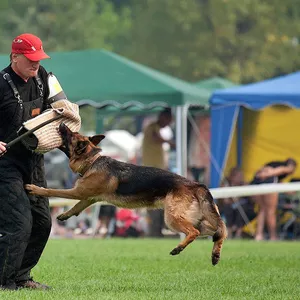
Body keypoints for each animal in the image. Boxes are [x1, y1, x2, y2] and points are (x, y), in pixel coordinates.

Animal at [25, 123, 226, 264]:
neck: (92, 161)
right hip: (197, 219)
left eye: (70, 135)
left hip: (173, 218)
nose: (61, 124)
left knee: (195, 232)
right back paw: (215, 254)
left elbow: (54, 191)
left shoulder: (77, 191)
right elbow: (77, 207)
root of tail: (195, 184)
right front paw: (65, 215)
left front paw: (36, 189)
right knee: (218, 231)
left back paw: (179, 248)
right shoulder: (89, 197)